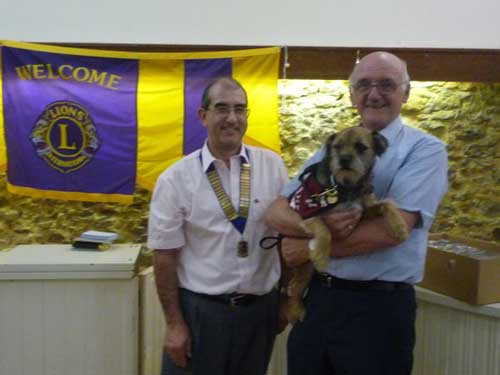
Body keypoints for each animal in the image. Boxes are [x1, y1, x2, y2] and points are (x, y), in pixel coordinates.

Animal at [288, 126, 408, 324]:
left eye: (361, 147)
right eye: (337, 147)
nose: (344, 159)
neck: (345, 187)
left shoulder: (361, 212)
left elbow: (387, 204)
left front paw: (400, 228)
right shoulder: (304, 214)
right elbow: (324, 229)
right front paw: (322, 257)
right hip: (304, 269)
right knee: (294, 288)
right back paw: (295, 311)